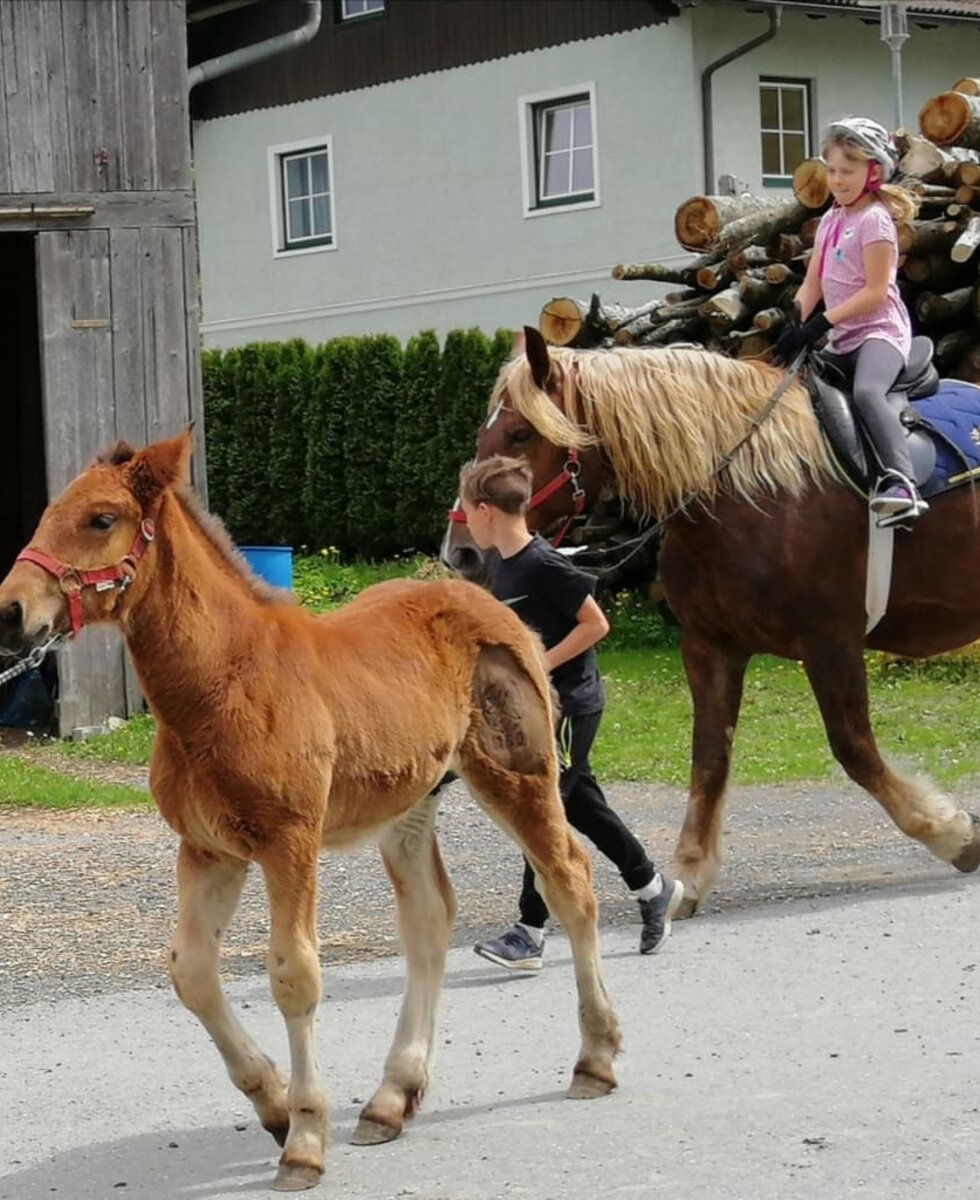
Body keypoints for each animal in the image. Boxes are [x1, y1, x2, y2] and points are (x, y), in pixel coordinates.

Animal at [0, 432, 618, 1190]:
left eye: (100, 519)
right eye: (51, 511)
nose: (11, 612)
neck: (224, 680)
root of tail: (497, 607)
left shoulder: (288, 842)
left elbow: (294, 975)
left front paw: (303, 1139)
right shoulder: (208, 849)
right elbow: (191, 972)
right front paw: (271, 1103)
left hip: (518, 776)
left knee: (569, 881)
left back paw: (594, 1059)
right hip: (408, 806)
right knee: (429, 918)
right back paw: (391, 1098)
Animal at [443, 328, 978, 916]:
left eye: (519, 434)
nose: (462, 551)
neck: (753, 492)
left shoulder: (831, 643)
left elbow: (854, 750)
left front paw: (954, 834)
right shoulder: (711, 647)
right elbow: (708, 759)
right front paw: (688, 876)